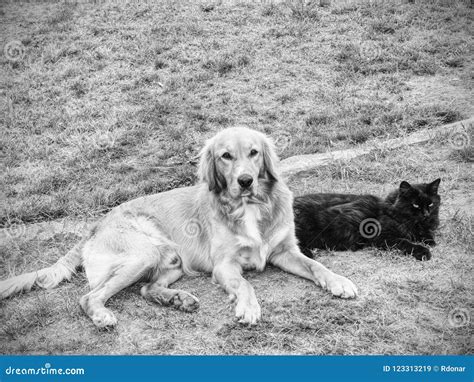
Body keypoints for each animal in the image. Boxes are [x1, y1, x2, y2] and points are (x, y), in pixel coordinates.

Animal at [0, 127, 356, 326]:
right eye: (226, 156)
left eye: (254, 153)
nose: (245, 181)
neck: (251, 208)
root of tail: (97, 224)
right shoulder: (225, 266)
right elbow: (245, 284)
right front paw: (249, 308)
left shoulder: (284, 251)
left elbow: (317, 265)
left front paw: (339, 281)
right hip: (144, 253)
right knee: (90, 297)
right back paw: (103, 315)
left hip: (170, 259)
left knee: (146, 288)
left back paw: (176, 299)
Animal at [294, 178, 442, 262]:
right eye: (415, 205)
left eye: (430, 204)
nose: (426, 214)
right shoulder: (383, 237)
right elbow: (405, 242)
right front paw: (423, 251)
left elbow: (426, 235)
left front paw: (429, 240)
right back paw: (307, 254)